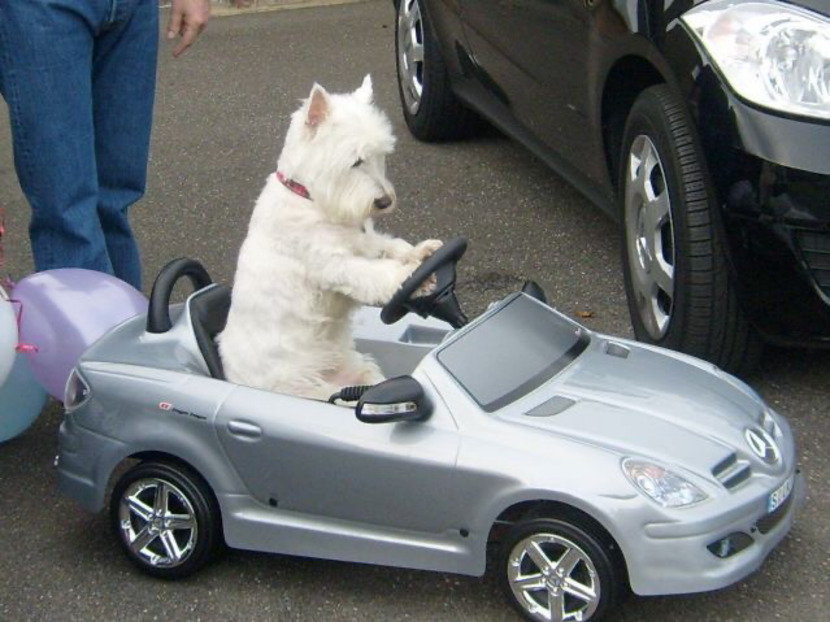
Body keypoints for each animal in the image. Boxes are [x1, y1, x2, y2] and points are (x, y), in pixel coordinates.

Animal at [217, 76, 441, 401]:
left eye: (381, 155)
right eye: (356, 161)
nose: (385, 202)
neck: (310, 198)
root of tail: (229, 375)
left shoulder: (365, 242)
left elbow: (390, 247)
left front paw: (423, 252)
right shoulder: (333, 265)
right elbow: (374, 274)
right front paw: (413, 277)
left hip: (357, 369)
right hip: (302, 388)